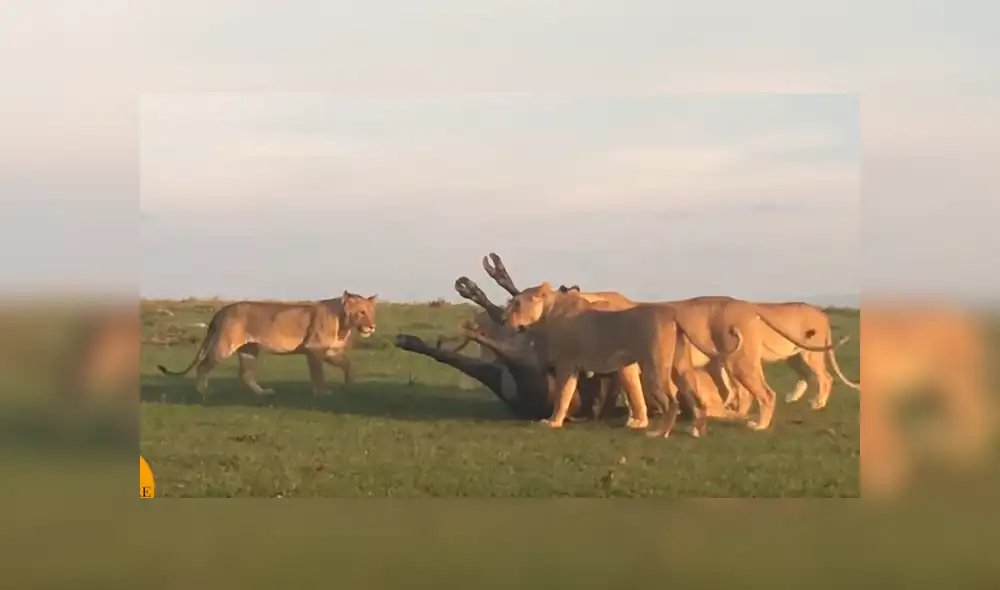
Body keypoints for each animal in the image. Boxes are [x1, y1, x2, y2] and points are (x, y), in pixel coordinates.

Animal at [156, 291, 377, 401]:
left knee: (245, 375)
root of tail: (221, 311)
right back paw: (203, 392)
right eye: (361, 313)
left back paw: (263, 393)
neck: (344, 324)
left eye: (371, 312)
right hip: (224, 345)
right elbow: (319, 374)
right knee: (203, 366)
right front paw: (322, 393)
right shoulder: (313, 349)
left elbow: (349, 366)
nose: (372, 326)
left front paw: (348, 385)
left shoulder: (331, 351)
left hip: (249, 350)